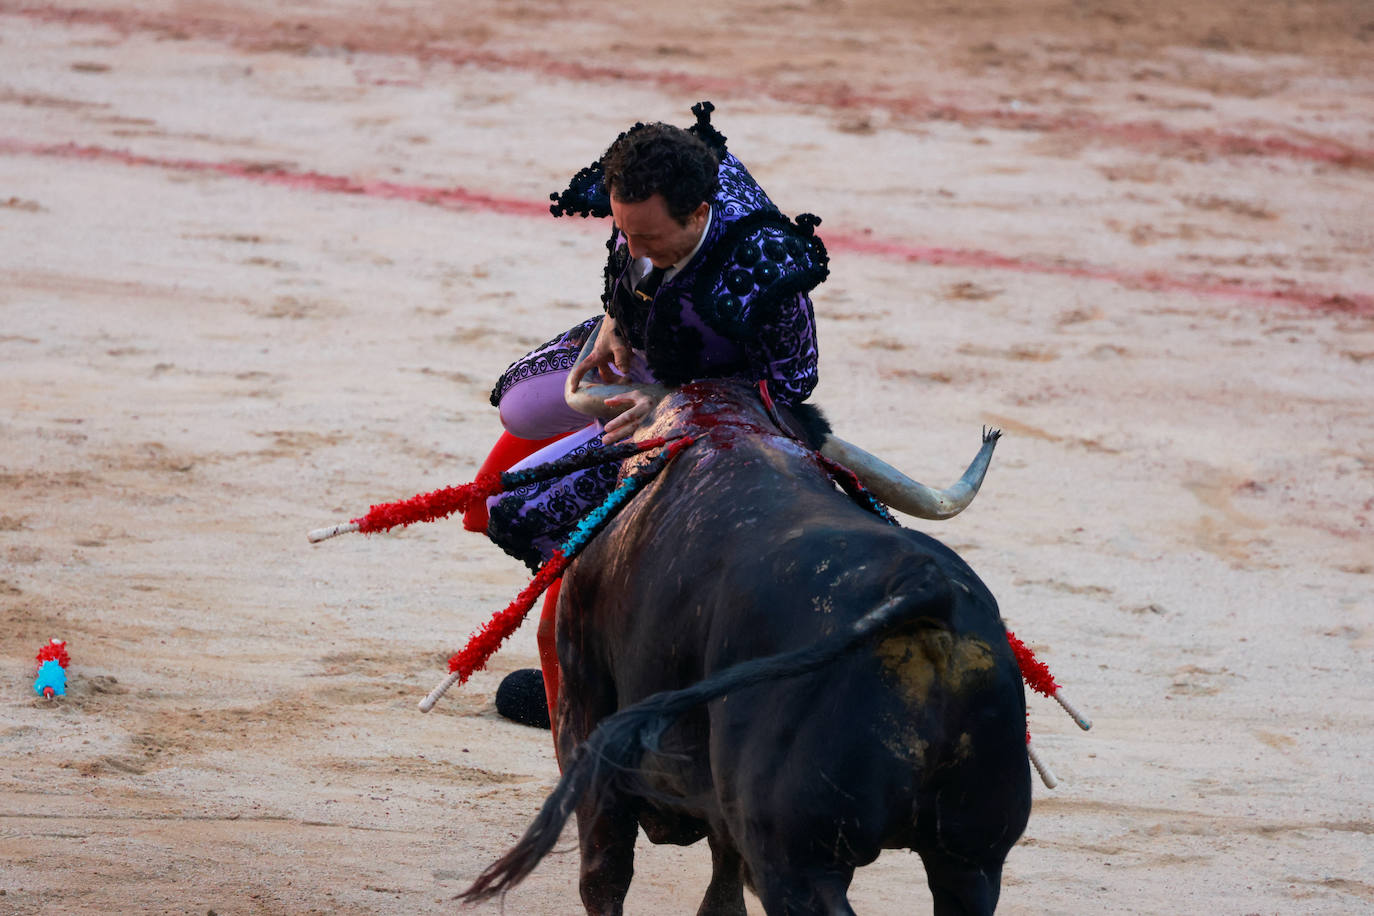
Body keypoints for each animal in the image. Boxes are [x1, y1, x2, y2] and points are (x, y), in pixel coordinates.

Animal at [461, 381, 1033, 916]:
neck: (731, 422)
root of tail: (923, 590)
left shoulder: (584, 715)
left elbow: (605, 876)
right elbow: (721, 887)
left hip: (795, 857)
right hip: (974, 859)